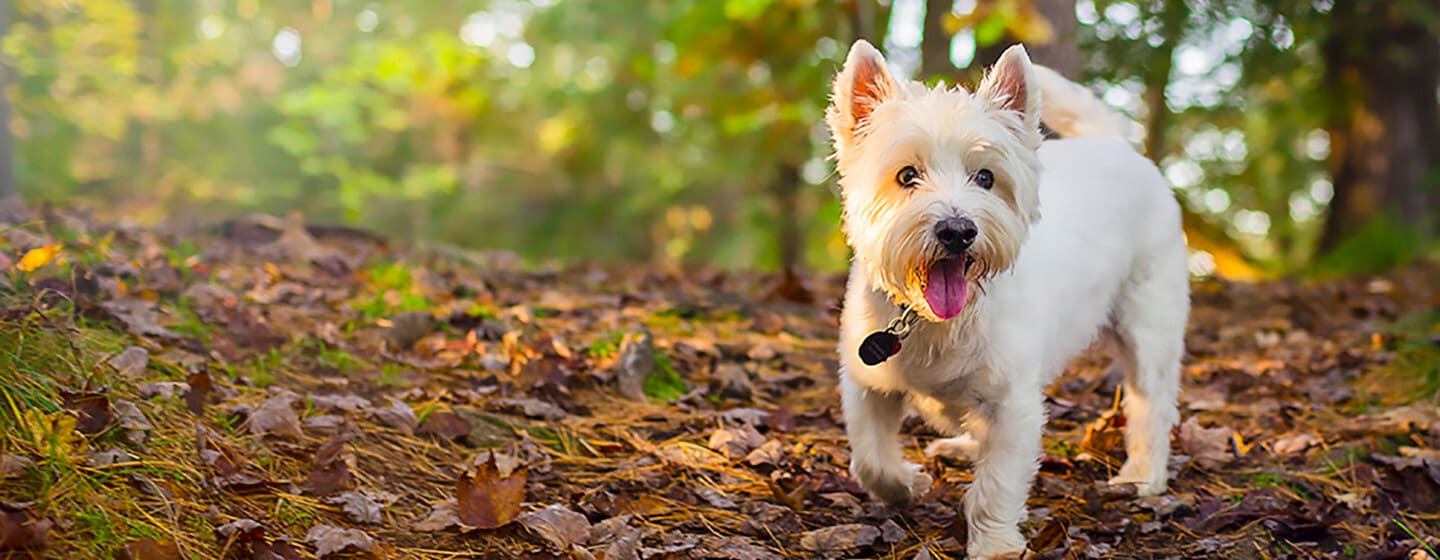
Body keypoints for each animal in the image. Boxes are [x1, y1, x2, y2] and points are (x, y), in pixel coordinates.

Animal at [829, 41, 1186, 555]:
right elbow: (870, 457)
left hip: (1149, 325)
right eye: (907, 175)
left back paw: (1142, 475)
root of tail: (1117, 146)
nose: (957, 230)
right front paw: (907, 485)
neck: (936, 322)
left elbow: (997, 482)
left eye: (985, 177)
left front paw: (995, 544)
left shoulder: (1013, 403)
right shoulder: (868, 382)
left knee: (1151, 401)